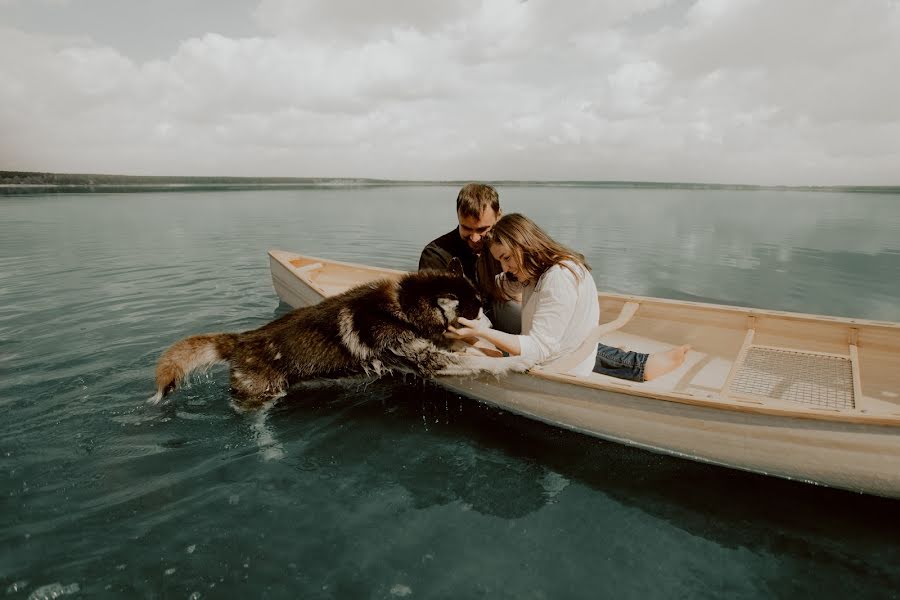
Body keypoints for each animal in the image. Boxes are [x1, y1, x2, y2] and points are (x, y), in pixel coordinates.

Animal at [152, 268, 532, 408]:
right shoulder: (421, 357)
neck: (402, 307)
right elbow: (478, 362)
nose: (492, 323)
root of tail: (242, 339)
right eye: (478, 309)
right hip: (263, 393)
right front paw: (520, 359)